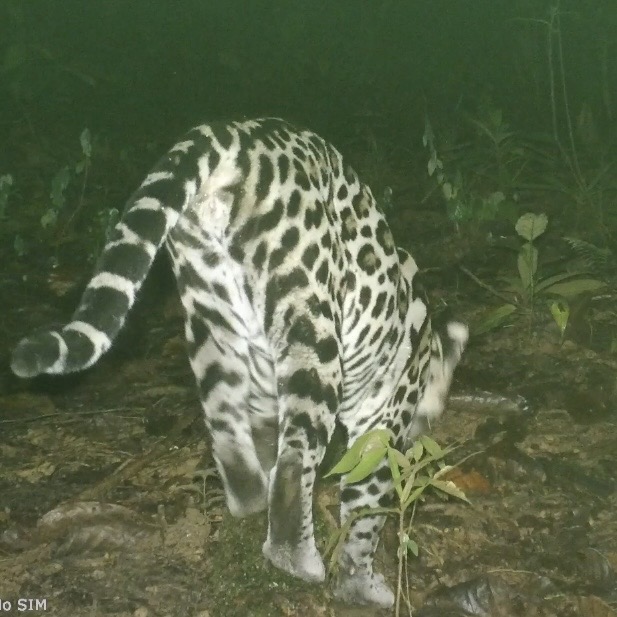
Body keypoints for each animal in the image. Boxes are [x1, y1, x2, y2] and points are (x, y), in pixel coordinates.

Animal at [11, 118, 467, 608]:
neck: (430, 354)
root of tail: (234, 135)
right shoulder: (380, 426)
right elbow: (365, 510)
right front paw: (361, 584)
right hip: (311, 319)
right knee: (294, 461)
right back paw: (295, 557)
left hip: (212, 316)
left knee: (225, 424)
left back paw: (249, 497)